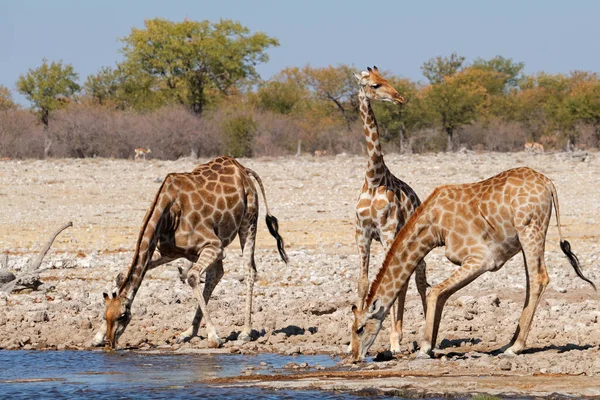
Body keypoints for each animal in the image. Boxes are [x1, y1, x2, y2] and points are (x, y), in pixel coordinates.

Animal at [93, 156, 288, 350]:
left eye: (122, 316)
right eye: (104, 316)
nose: (109, 344)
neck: (168, 212)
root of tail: (244, 170)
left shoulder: (214, 245)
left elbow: (193, 277)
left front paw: (214, 337)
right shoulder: (168, 252)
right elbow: (122, 274)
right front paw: (97, 336)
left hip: (249, 220)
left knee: (249, 270)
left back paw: (245, 332)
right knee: (216, 274)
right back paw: (188, 333)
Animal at [352, 167, 596, 360]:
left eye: (360, 329)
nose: (355, 356)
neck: (434, 227)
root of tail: (548, 183)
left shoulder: (482, 259)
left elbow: (435, 291)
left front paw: (424, 347)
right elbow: (442, 294)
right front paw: (431, 345)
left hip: (530, 230)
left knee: (539, 278)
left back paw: (515, 348)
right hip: (529, 236)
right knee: (531, 282)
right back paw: (507, 344)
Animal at [354, 66, 428, 354]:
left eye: (388, 80)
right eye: (374, 85)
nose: (400, 97)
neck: (374, 179)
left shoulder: (387, 232)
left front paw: (394, 341)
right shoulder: (362, 233)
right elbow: (363, 282)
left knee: (417, 281)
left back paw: (408, 336)